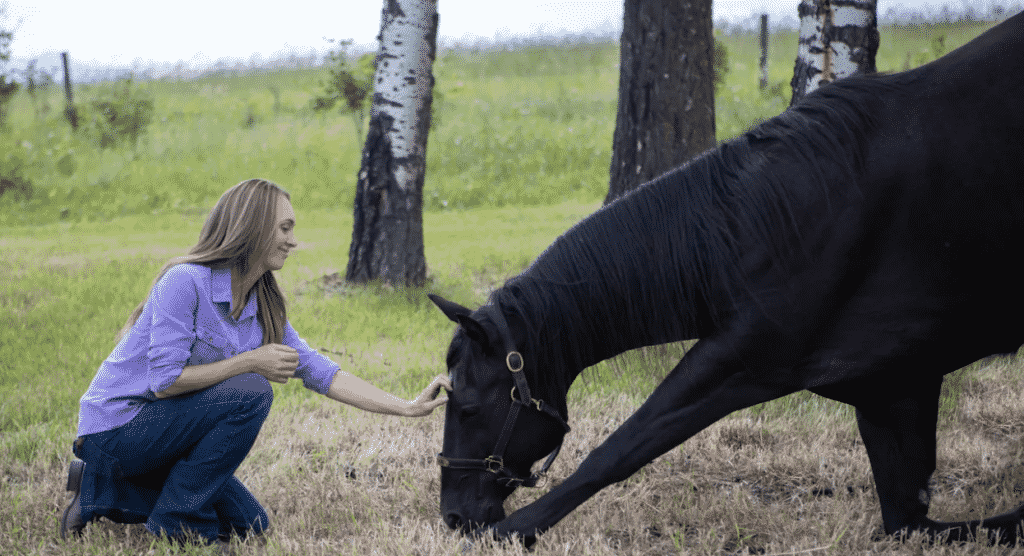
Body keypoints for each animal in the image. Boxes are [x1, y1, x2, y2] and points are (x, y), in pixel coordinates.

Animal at [430, 13, 1024, 548]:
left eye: (469, 407)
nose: (455, 516)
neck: (777, 221)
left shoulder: (749, 359)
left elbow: (624, 446)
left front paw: (513, 530)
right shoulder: (893, 386)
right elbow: (911, 523)